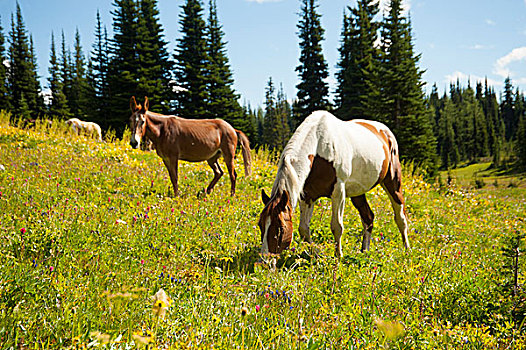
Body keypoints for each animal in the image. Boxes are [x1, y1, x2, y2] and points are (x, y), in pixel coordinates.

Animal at [260, 110, 412, 258]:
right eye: (260, 224)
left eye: (280, 229)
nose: (265, 259)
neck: (318, 147)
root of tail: (386, 132)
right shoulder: (307, 196)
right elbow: (303, 228)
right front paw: (315, 253)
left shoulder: (338, 192)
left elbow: (336, 226)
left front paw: (338, 256)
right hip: (358, 192)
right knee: (368, 217)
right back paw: (365, 251)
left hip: (392, 182)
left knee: (400, 218)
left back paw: (407, 250)